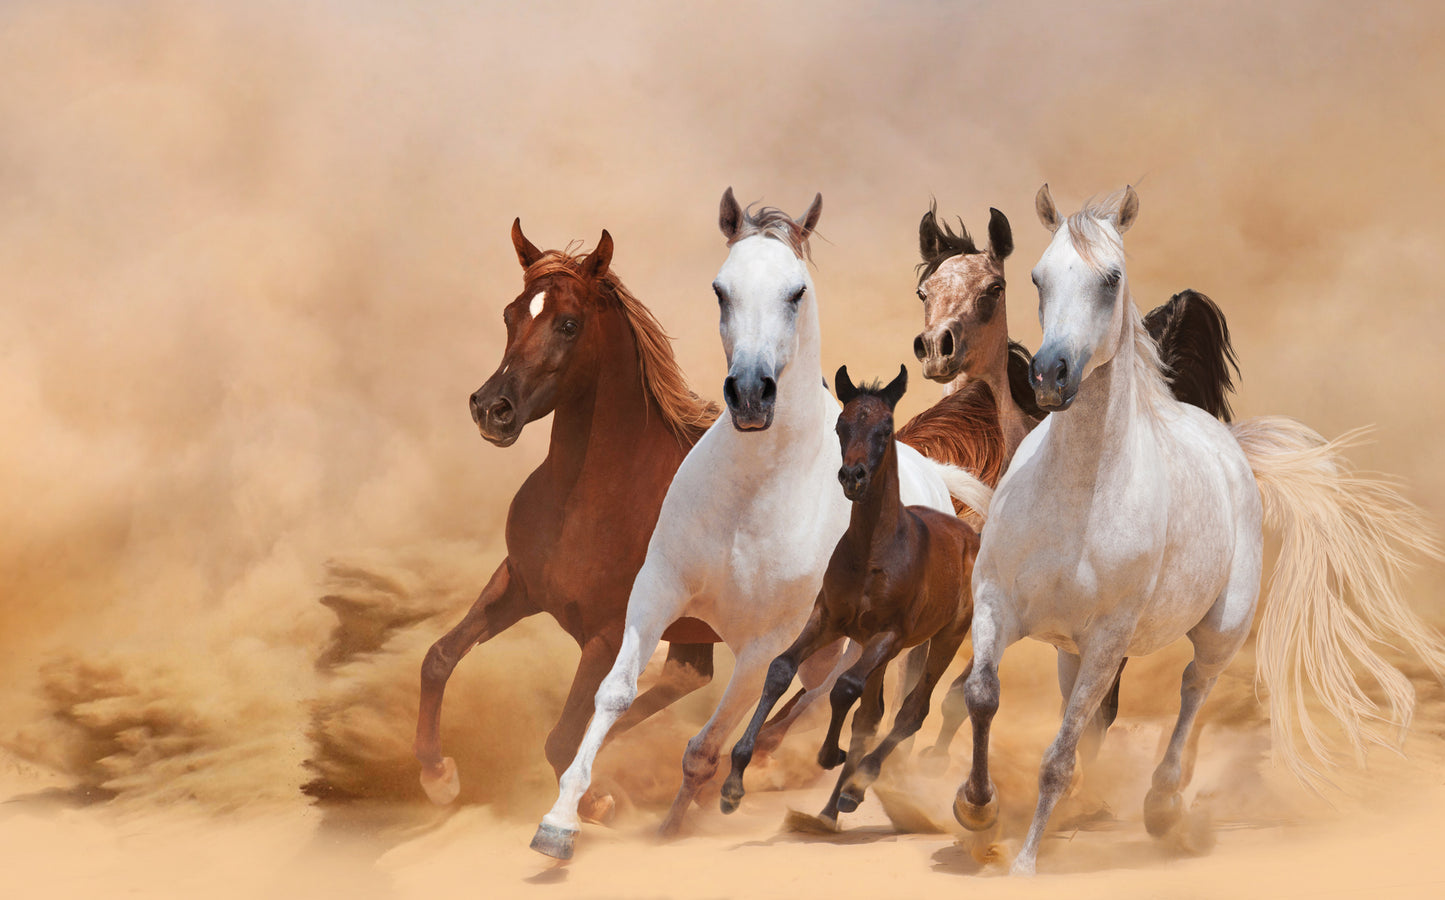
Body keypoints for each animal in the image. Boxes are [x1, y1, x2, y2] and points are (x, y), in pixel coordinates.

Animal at [413, 222, 729, 820]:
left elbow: (560, 738)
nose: (492, 408)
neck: (586, 500)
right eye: (510, 314)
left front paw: (597, 801)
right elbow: (439, 657)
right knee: (688, 679)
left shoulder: (608, 634)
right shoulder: (519, 582)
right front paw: (438, 776)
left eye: (568, 324)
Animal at [720, 364, 982, 829]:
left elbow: (843, 688)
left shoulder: (888, 634)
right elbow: (781, 669)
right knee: (872, 713)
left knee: (912, 710)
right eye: (841, 426)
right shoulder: (828, 619)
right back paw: (832, 806)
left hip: (944, 639)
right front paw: (733, 784)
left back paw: (857, 786)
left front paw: (830, 754)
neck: (872, 552)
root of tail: (970, 534)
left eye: (886, 428)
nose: (852, 477)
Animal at [952, 185, 1445, 875]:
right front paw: (976, 809)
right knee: (1099, 715)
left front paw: (1024, 863)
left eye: (1112, 278)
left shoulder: (1107, 639)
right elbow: (983, 696)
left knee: (1191, 692)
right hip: (1070, 650)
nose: (1049, 375)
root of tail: (1229, 444)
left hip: (1218, 631)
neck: (1074, 501)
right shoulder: (997, 602)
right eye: (1037, 277)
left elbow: (1058, 755)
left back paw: (1162, 808)